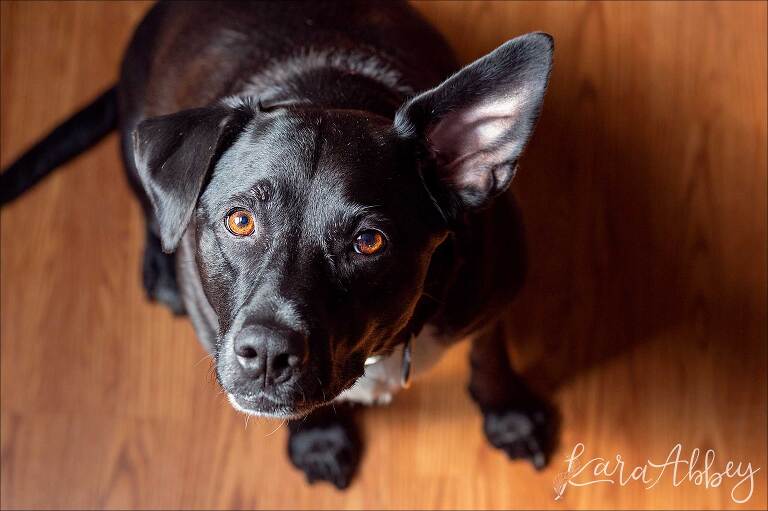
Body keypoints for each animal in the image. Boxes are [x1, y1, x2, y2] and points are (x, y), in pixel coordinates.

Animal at [0, 0, 556, 488]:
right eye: (240, 221)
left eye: (369, 242)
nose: (267, 352)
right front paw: (319, 439)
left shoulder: (496, 284)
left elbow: (489, 349)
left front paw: (509, 413)